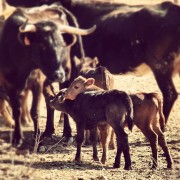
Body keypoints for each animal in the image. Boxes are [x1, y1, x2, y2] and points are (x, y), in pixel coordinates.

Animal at [0, 3, 95, 146]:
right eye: (42, 46)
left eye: (61, 45)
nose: (58, 74)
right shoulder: (8, 83)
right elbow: (16, 109)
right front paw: (17, 138)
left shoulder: (37, 82)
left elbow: (35, 111)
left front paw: (37, 139)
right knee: (50, 97)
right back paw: (48, 131)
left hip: (66, 74)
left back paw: (67, 133)